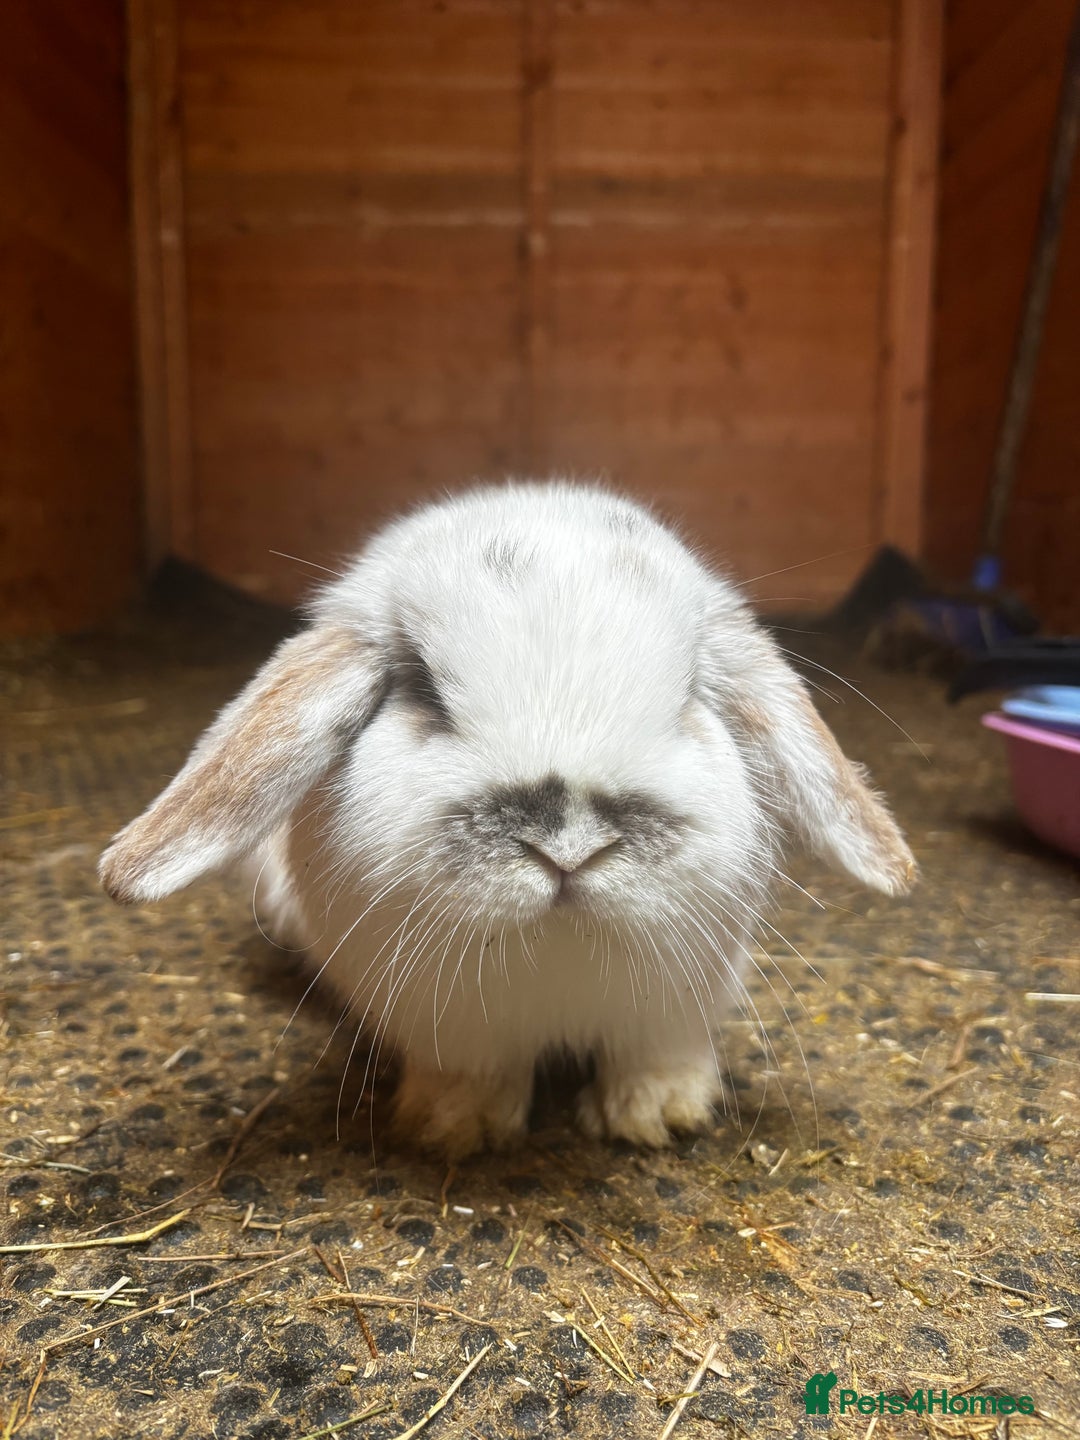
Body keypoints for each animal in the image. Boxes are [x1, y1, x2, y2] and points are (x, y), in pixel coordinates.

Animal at [99, 481, 916, 1159]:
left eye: (688, 691)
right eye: (422, 689)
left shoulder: (680, 1001)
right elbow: (471, 1072)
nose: (569, 846)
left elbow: (655, 1053)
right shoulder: (446, 1024)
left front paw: (658, 1116)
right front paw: (454, 1130)